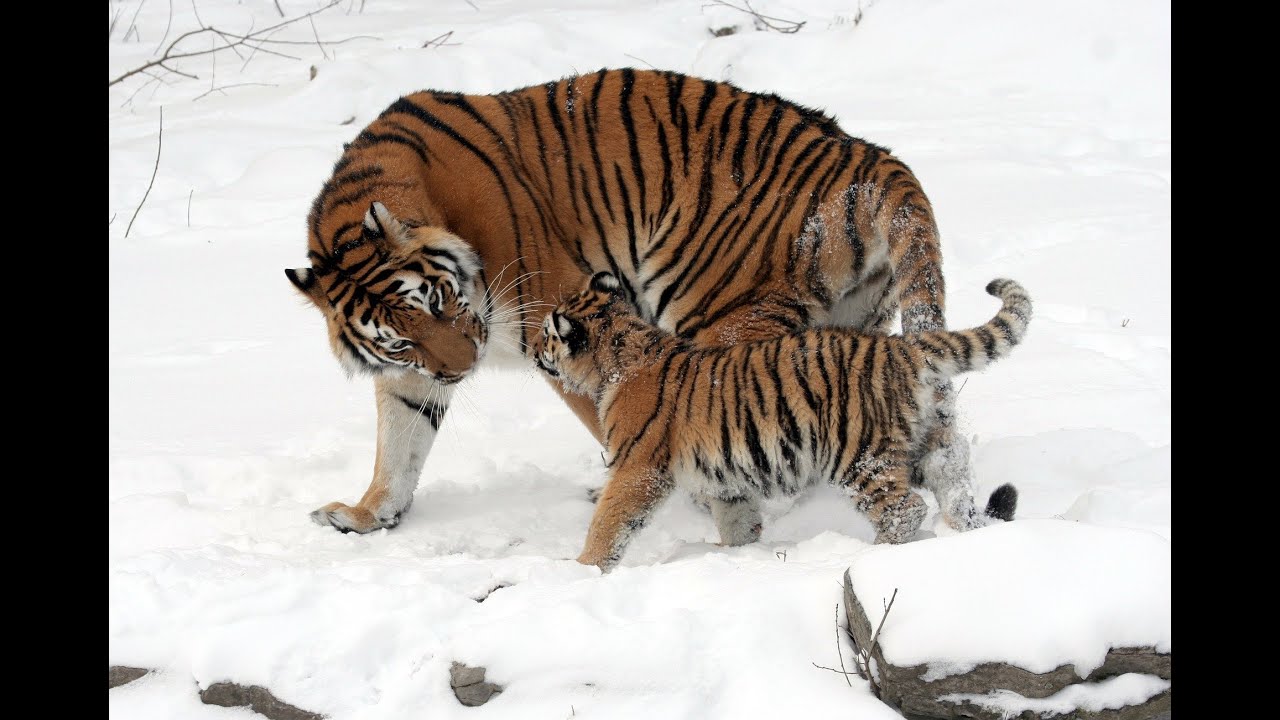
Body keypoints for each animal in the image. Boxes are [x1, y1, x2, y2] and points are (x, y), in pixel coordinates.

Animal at [285, 67, 988, 536]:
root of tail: (870, 157)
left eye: (436, 299)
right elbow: (399, 439)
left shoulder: (556, 317)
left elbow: (616, 418)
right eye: (399, 337)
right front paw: (367, 514)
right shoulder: (414, 372)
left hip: (720, 312)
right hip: (854, 322)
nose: (462, 368)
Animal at [533, 272, 1029, 571]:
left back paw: (870, 556)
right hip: (926, 443)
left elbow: (609, 522)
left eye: (546, 334)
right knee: (954, 484)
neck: (618, 354)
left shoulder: (637, 468)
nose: (534, 350)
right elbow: (736, 519)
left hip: (859, 455)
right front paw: (734, 553)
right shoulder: (725, 478)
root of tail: (901, 347)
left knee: (905, 508)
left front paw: (581, 569)